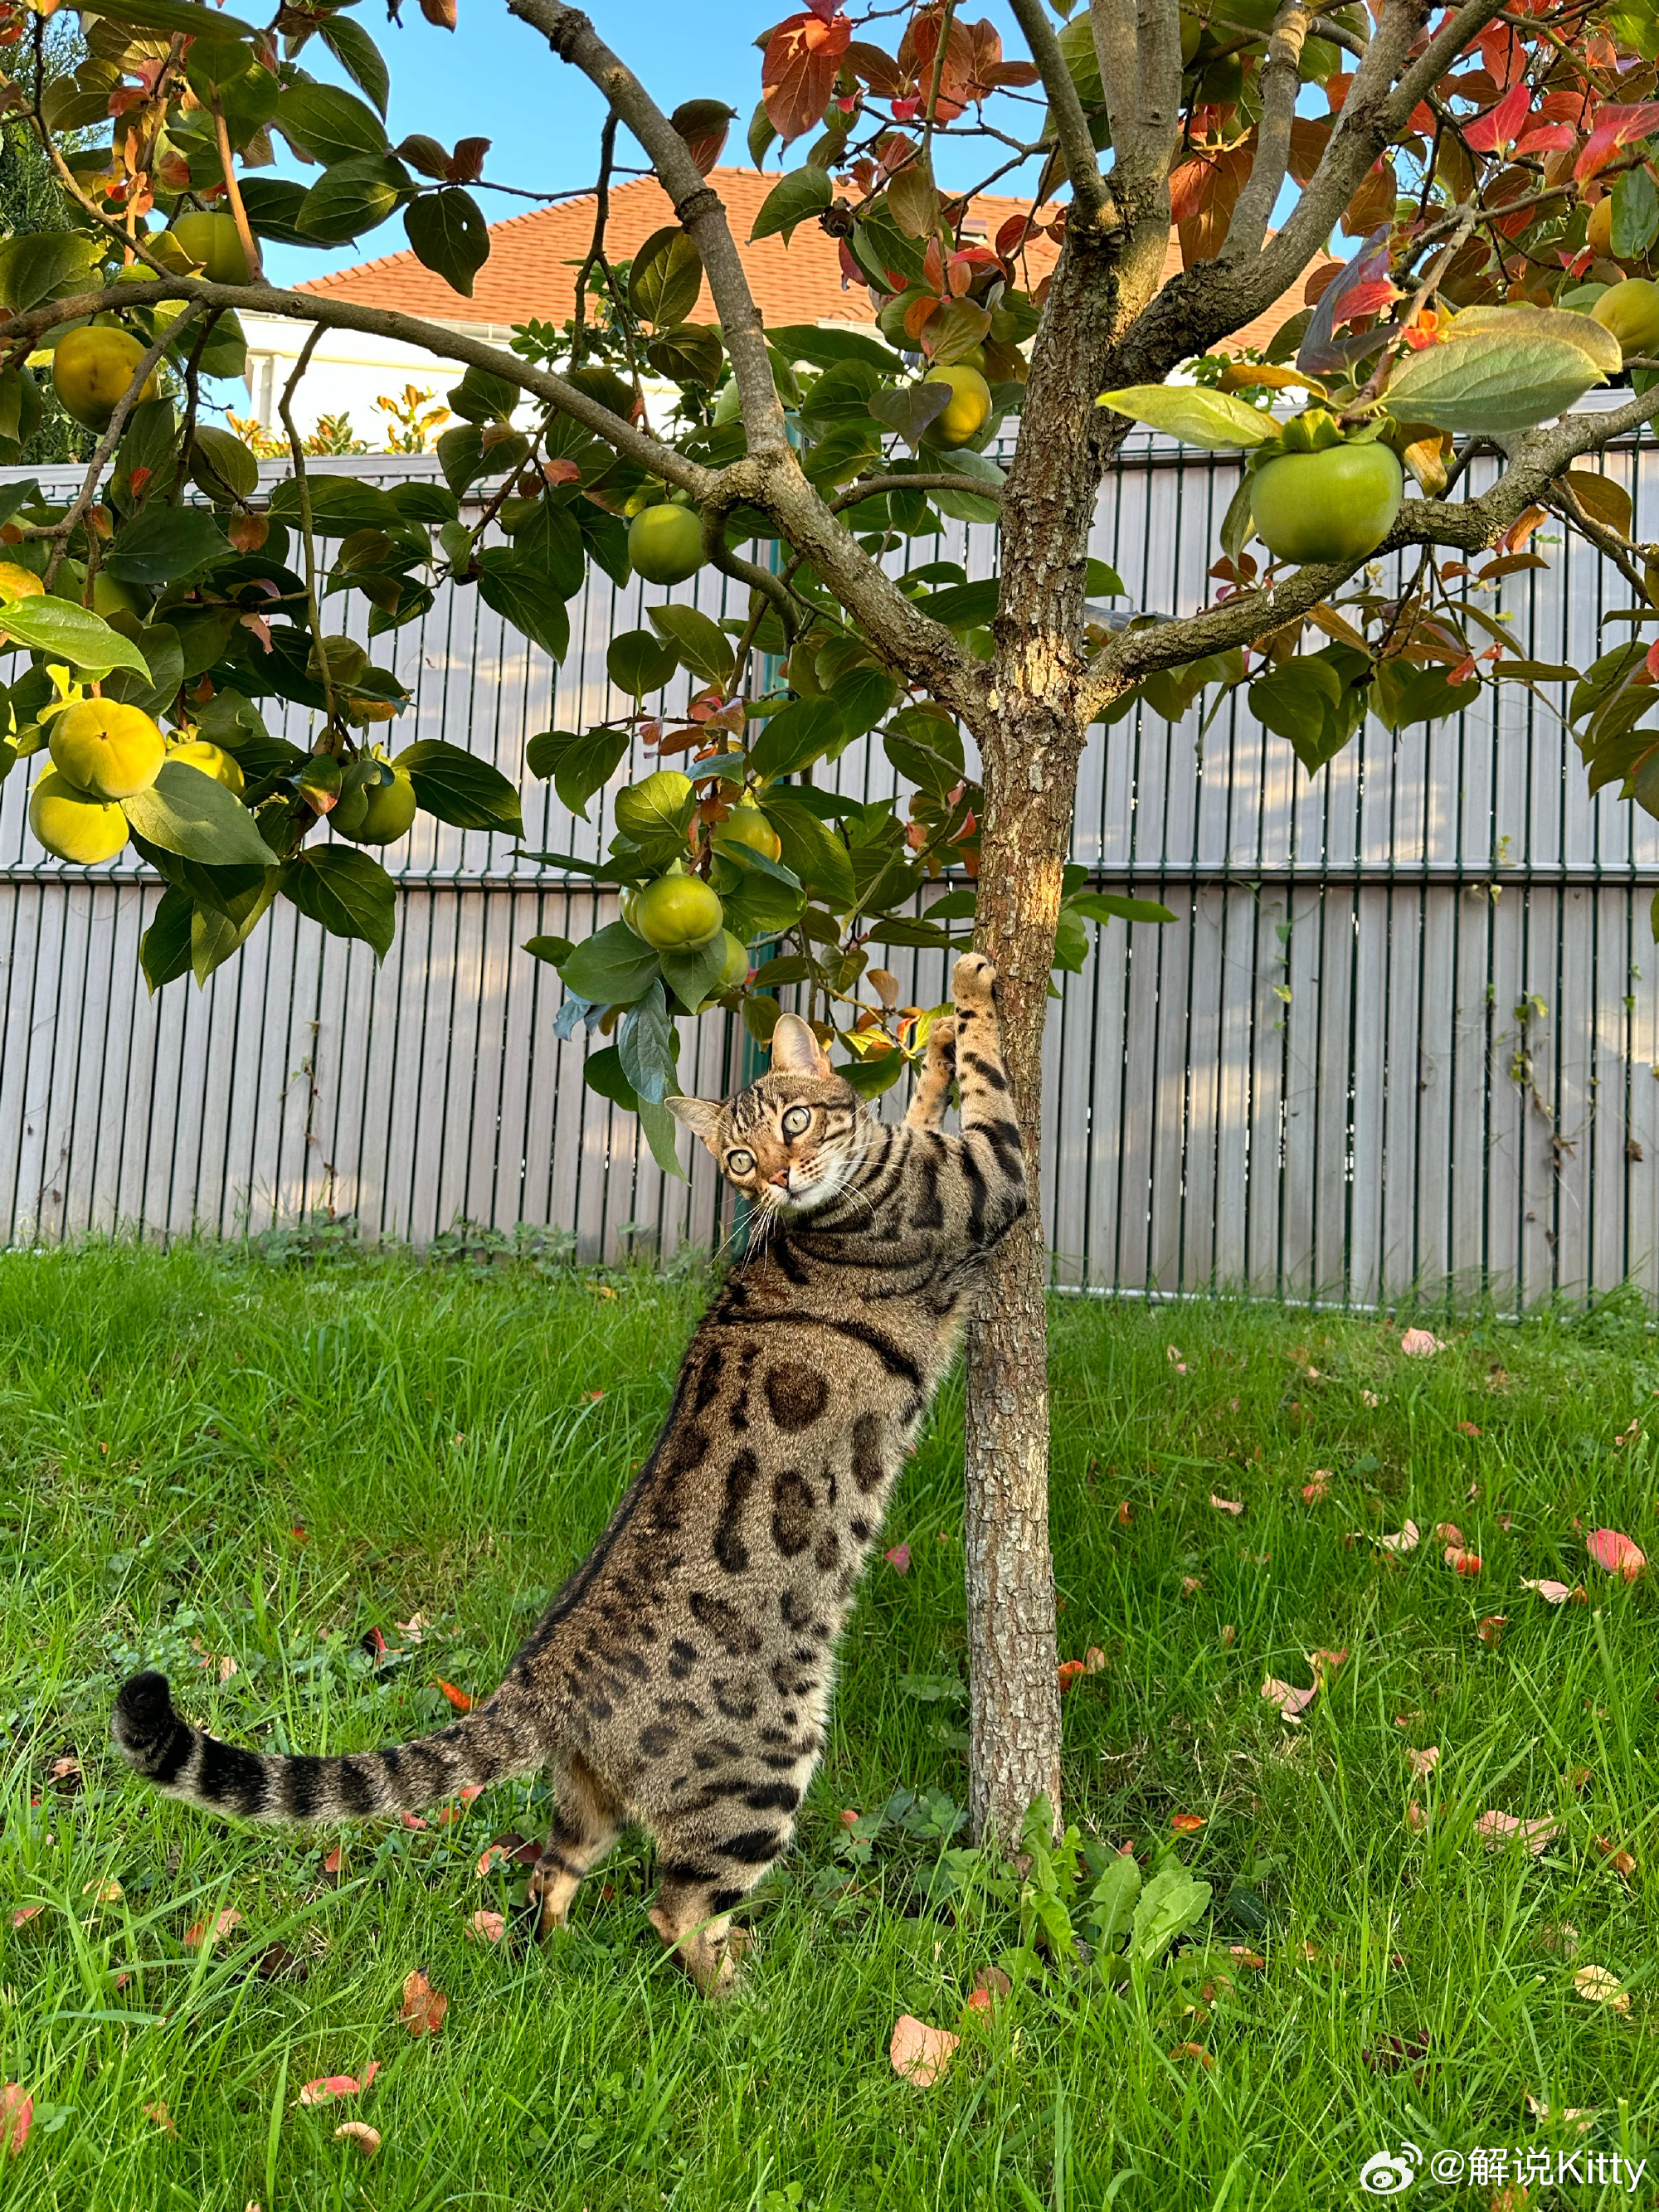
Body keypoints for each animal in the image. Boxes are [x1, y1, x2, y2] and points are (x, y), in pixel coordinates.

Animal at [114, 946, 1026, 1991]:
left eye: (792, 1124)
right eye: (738, 1160)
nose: (779, 1178)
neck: (845, 1193)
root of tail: (542, 1678)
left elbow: (922, 1099)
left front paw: (931, 1046)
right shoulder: (986, 1178)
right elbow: (991, 1087)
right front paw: (972, 991)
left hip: (589, 1798)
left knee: (554, 1868)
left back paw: (547, 1963)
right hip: (762, 1771)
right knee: (675, 1907)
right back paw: (738, 2001)